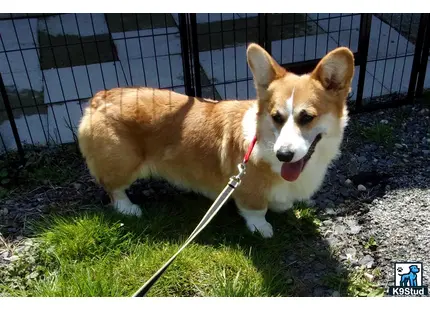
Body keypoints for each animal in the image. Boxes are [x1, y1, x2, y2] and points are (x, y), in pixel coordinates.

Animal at [79, 43, 354, 237]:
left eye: (307, 117)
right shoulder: (249, 191)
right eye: (277, 117)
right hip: (124, 163)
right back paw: (129, 208)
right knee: (114, 189)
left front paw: (281, 206)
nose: (284, 155)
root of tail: (99, 97)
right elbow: (256, 211)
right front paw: (262, 228)